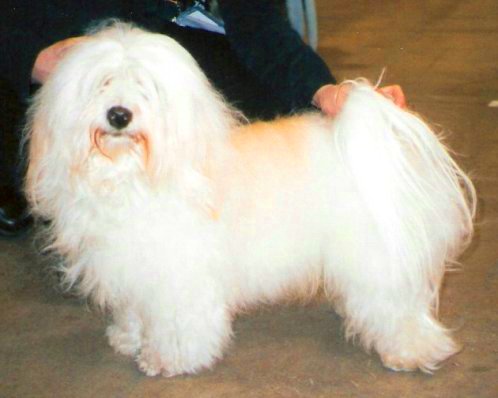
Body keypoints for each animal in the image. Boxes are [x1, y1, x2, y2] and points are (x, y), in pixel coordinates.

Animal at [23, 21, 474, 376]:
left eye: (146, 88)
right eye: (102, 83)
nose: (119, 114)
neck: (132, 175)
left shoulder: (180, 274)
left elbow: (179, 322)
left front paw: (169, 359)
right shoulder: (132, 267)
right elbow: (136, 310)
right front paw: (128, 337)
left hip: (378, 257)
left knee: (397, 306)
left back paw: (412, 351)